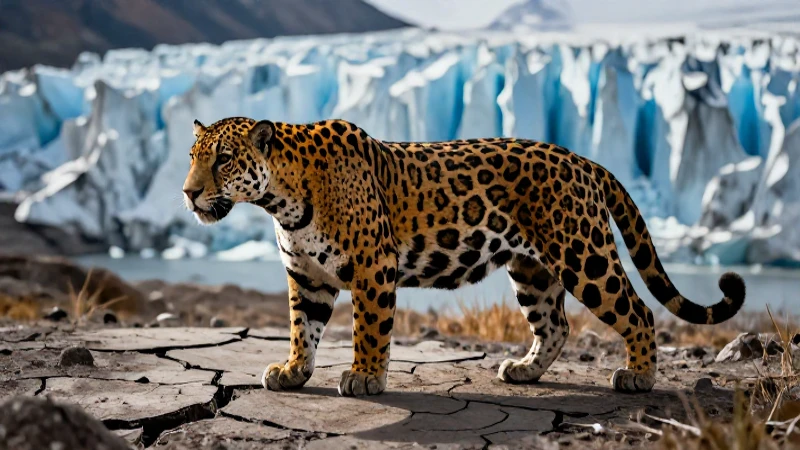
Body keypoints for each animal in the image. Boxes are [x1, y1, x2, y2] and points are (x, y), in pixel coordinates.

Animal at [182, 116, 746, 396]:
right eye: (191, 157)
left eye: (223, 159)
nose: (188, 193)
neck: (283, 199)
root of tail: (583, 160)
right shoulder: (307, 276)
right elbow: (304, 327)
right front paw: (294, 371)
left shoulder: (373, 267)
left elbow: (369, 329)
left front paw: (365, 378)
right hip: (533, 269)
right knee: (556, 324)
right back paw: (524, 370)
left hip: (584, 253)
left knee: (638, 311)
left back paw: (639, 377)